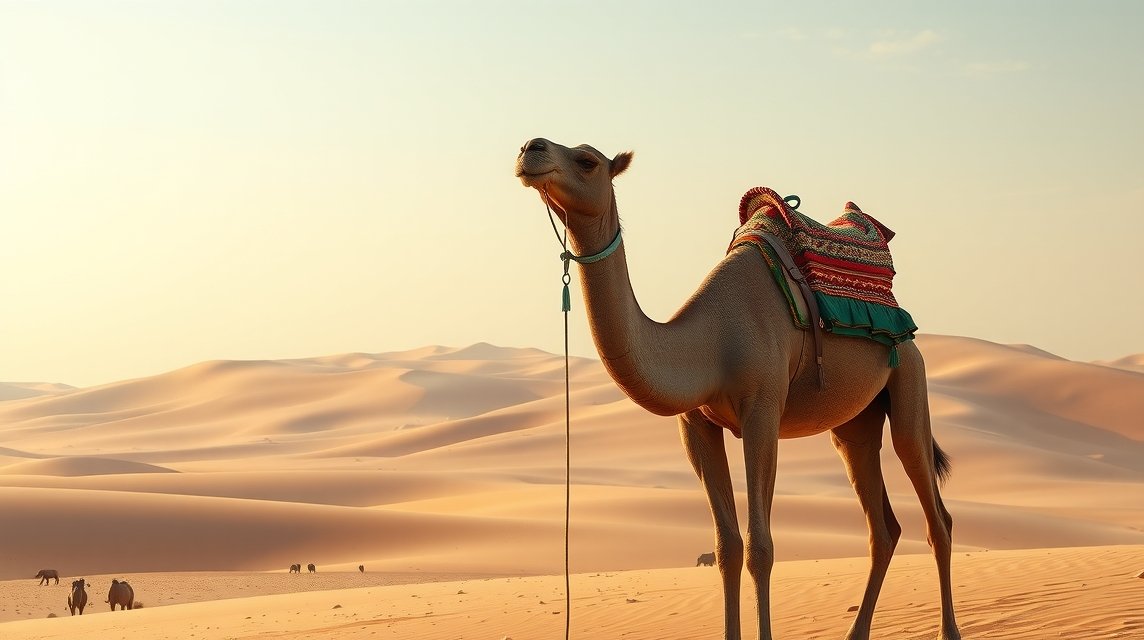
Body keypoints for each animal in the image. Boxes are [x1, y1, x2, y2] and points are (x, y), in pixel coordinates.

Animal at [515, 138, 960, 640]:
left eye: (588, 160)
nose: (530, 148)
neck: (711, 340)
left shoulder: (762, 412)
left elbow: (760, 546)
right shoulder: (695, 424)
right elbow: (727, 546)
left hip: (910, 379)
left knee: (936, 515)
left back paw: (949, 630)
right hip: (854, 424)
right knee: (881, 527)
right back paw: (856, 632)